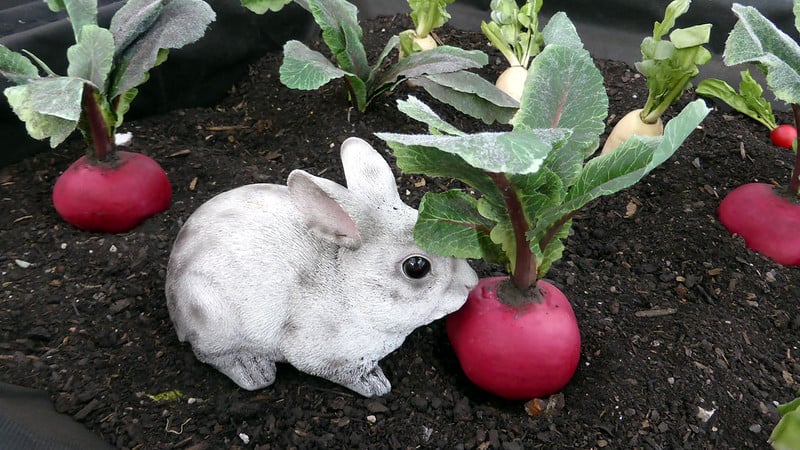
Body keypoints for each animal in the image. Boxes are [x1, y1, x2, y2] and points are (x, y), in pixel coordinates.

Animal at [165, 137, 478, 397]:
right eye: (416, 267)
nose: (471, 282)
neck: (349, 288)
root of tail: (172, 295)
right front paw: (375, 385)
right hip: (210, 313)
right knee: (211, 354)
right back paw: (254, 372)